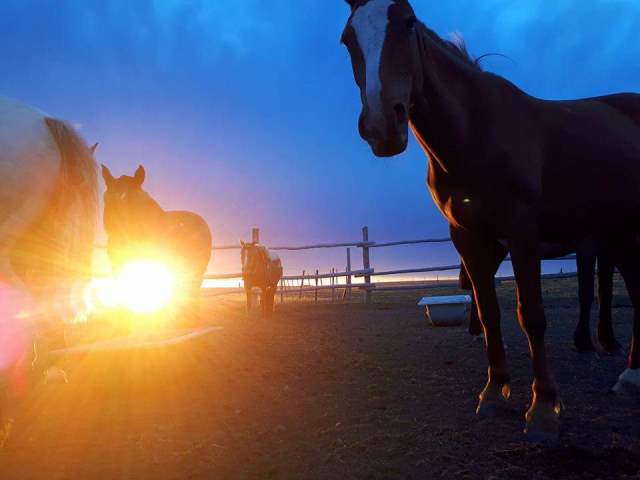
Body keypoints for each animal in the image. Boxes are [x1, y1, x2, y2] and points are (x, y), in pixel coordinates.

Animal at [342, 0, 640, 440]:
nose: (382, 126)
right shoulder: (468, 238)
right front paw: (494, 393)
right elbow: (488, 312)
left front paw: (543, 407)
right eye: (348, 39)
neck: (476, 131)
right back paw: (631, 377)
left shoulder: (522, 234)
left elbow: (530, 314)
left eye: (407, 23)